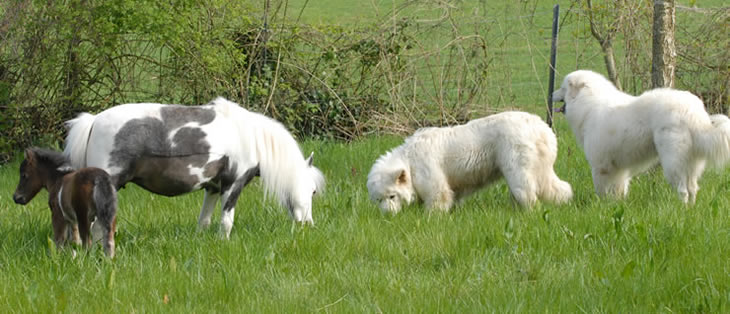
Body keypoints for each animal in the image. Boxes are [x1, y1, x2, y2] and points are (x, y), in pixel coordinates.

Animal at [62, 97, 324, 237]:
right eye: (312, 191)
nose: (309, 224)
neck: (250, 137)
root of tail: (93, 120)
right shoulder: (233, 185)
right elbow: (226, 221)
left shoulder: (213, 188)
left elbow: (204, 221)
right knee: (97, 227)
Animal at [366, 111, 572, 213]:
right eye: (379, 199)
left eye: (392, 196)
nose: (388, 214)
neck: (409, 159)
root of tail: (541, 128)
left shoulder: (430, 176)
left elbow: (438, 199)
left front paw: (431, 217)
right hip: (540, 167)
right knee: (556, 187)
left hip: (517, 164)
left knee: (526, 192)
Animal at [552, 70, 728, 204]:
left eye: (562, 88)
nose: (551, 94)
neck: (588, 103)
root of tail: (692, 112)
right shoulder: (618, 168)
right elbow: (619, 189)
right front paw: (616, 205)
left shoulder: (600, 165)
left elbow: (602, 189)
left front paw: (601, 206)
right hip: (691, 164)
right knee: (692, 189)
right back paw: (690, 210)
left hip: (673, 162)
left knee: (683, 190)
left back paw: (681, 210)